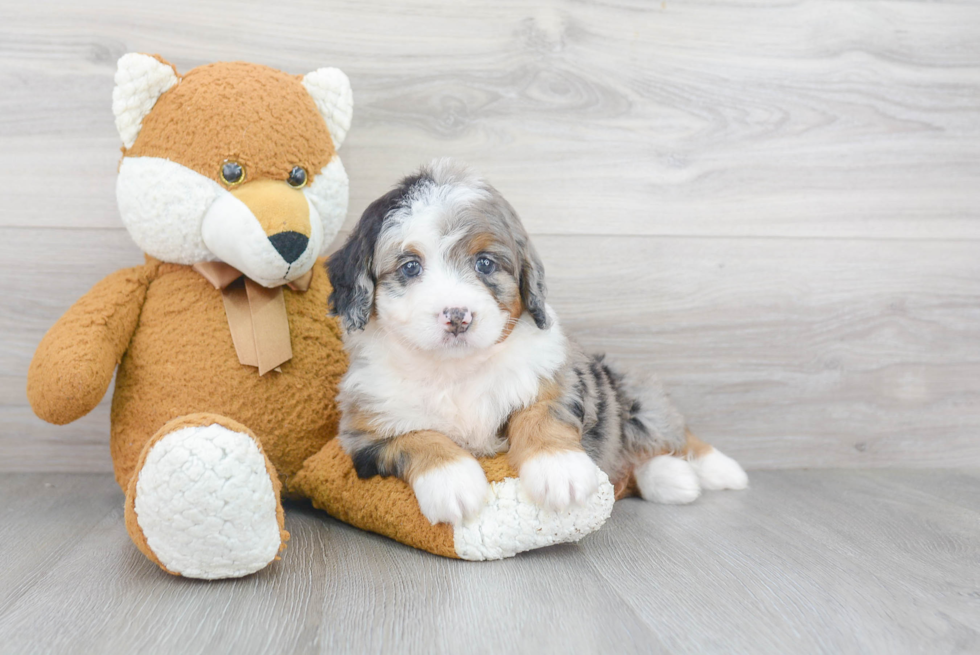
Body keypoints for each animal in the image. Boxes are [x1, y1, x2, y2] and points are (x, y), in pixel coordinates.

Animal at [326, 160, 748, 528]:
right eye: (410, 267)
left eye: (485, 263)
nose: (458, 316)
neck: (456, 369)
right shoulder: (364, 431)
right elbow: (418, 437)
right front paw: (454, 484)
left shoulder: (560, 377)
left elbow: (542, 413)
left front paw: (559, 470)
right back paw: (674, 478)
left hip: (635, 396)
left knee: (673, 431)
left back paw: (722, 470)